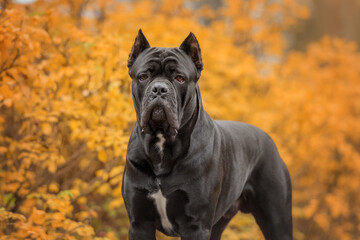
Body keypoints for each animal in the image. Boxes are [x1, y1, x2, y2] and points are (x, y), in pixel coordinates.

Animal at [121, 30, 292, 240]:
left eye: (180, 78)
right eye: (144, 76)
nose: (159, 89)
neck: (162, 142)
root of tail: (269, 140)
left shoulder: (196, 225)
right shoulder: (139, 223)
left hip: (277, 219)